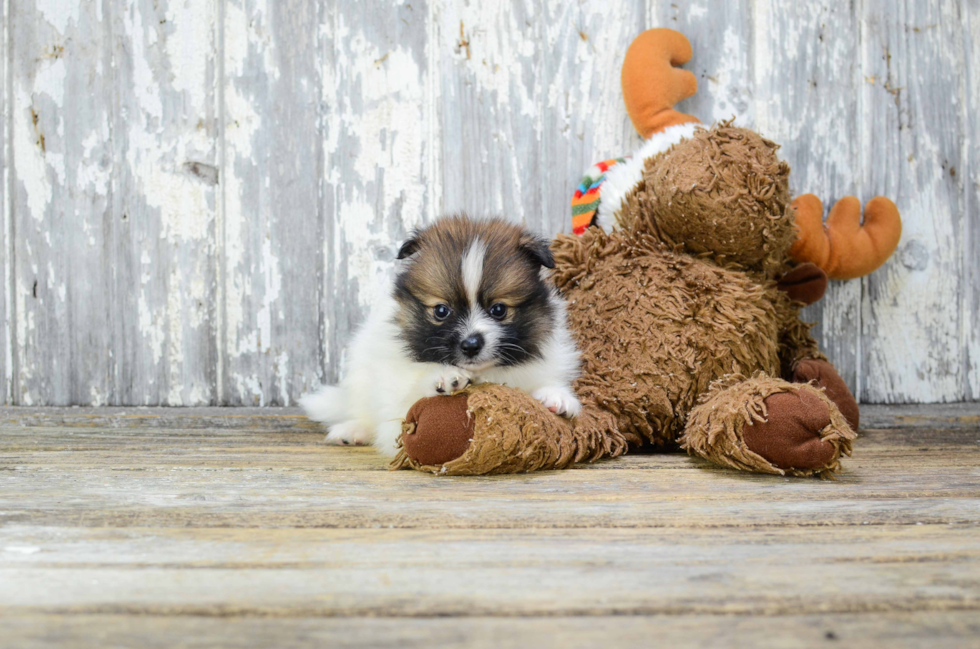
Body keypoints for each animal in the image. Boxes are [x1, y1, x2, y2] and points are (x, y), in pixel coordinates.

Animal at [302, 215, 580, 454]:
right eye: (441, 310)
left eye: (499, 309)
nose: (471, 344)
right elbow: (409, 399)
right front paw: (446, 377)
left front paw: (556, 396)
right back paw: (353, 430)